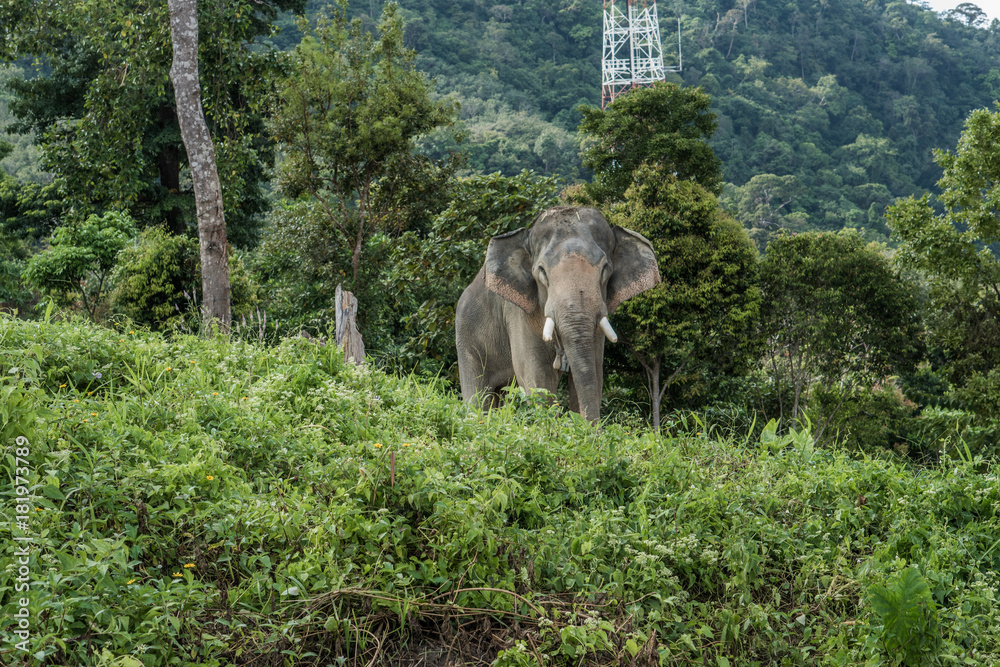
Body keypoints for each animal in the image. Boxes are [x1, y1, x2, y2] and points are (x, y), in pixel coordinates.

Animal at [455, 206, 661, 422]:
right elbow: (537, 375)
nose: (594, 430)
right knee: (478, 394)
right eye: (542, 271)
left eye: (605, 269)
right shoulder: (519, 312)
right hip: (466, 338)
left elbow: (594, 371)